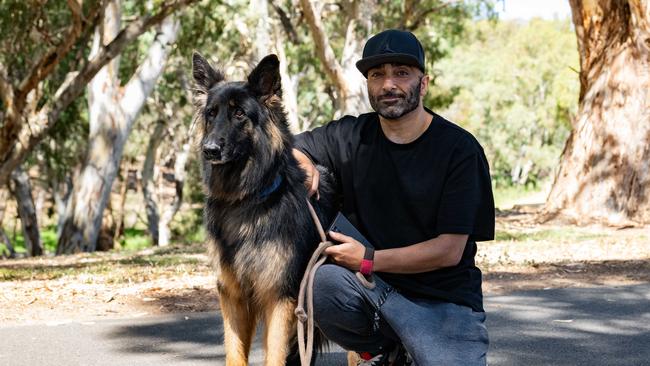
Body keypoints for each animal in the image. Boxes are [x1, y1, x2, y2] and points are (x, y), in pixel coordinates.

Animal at [191, 52, 334, 366]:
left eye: (239, 114)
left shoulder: (279, 296)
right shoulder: (232, 294)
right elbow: (234, 354)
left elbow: (274, 355)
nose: (208, 149)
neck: (246, 200)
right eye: (211, 114)